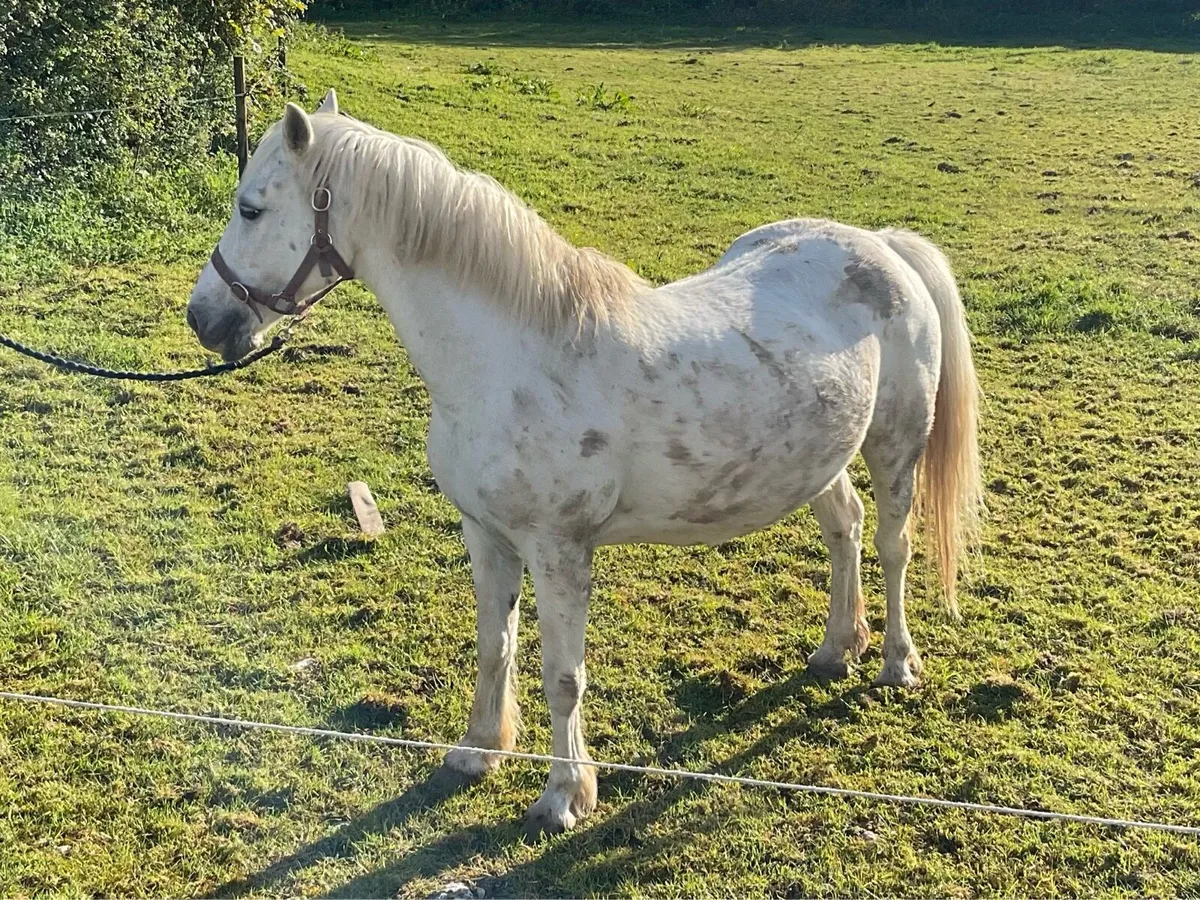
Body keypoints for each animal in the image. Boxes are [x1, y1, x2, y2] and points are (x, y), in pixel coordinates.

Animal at [185, 91, 982, 835]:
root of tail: (881, 245)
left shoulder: (559, 549)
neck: (512, 358)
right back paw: (837, 648)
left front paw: (565, 796)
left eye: (251, 208)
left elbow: (561, 674)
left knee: (893, 544)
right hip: (818, 457)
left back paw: (896, 663)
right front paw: (478, 751)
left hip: (896, 445)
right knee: (845, 527)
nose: (203, 318)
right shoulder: (487, 535)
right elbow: (495, 646)